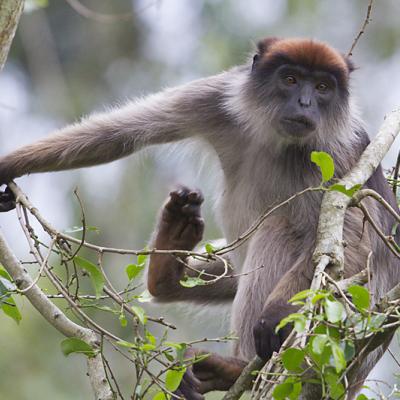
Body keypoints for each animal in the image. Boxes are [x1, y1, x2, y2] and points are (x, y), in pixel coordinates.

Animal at [0, 38, 398, 400]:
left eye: (322, 88)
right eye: (290, 80)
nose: (305, 103)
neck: (275, 136)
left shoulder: (337, 149)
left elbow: (354, 243)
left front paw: (276, 313)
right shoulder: (217, 97)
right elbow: (119, 133)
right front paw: (9, 165)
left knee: (283, 230)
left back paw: (240, 366)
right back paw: (168, 263)